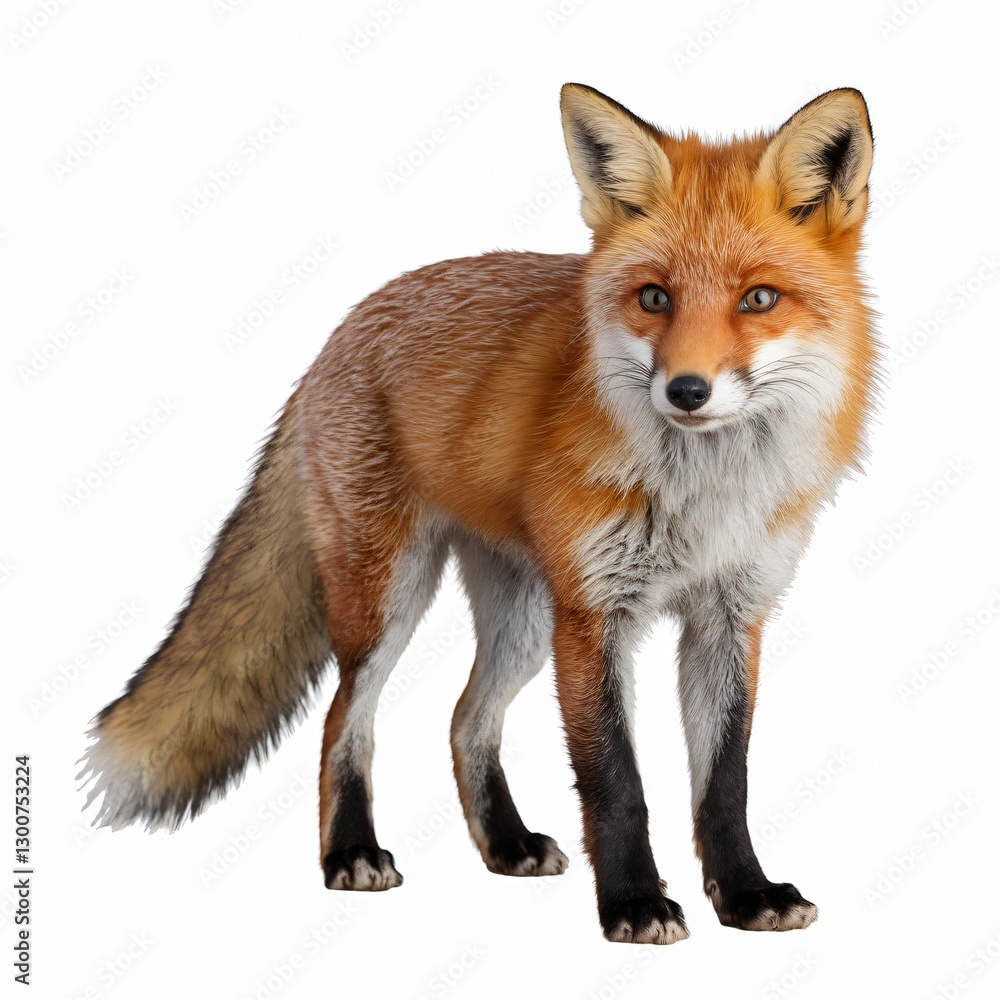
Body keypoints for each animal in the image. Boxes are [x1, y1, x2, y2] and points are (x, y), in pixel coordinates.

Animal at [79, 83, 877, 945]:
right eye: (654, 298)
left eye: (759, 299)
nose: (686, 391)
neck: (704, 494)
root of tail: (342, 328)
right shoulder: (594, 614)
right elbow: (615, 779)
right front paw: (633, 901)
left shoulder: (731, 614)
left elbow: (725, 781)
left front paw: (747, 893)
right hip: (388, 600)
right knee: (343, 719)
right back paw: (349, 852)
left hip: (523, 620)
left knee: (466, 718)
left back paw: (505, 843)